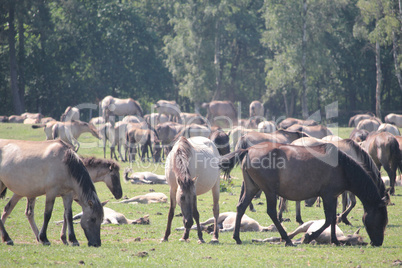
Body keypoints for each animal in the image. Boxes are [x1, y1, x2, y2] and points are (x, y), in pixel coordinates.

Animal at [220, 142, 390, 247]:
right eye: (381, 219)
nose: (378, 242)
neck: (342, 167)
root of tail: (248, 150)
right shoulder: (328, 196)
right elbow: (329, 219)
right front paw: (310, 237)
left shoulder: (333, 196)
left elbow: (332, 219)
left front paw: (335, 240)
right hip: (269, 191)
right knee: (272, 212)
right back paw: (287, 239)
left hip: (252, 188)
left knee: (241, 207)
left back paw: (237, 237)